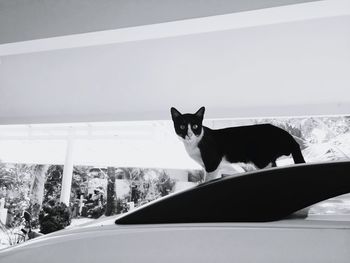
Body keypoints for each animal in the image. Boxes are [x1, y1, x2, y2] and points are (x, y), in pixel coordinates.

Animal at [171, 106, 304, 183]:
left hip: (262, 161)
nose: (189, 134)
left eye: (195, 126)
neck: (193, 143)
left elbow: (207, 180)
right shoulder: (214, 167)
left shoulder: (212, 163)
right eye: (182, 126)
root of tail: (288, 136)